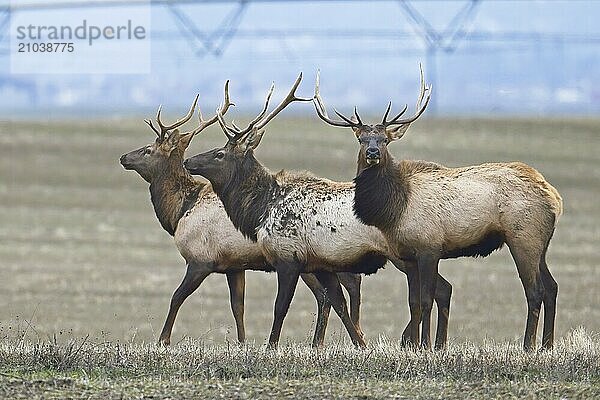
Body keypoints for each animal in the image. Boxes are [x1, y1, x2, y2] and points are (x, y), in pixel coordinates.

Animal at [117, 83, 360, 346]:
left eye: (147, 150)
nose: (123, 157)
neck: (179, 211)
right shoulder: (234, 265)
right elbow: (237, 307)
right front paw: (242, 343)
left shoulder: (200, 259)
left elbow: (176, 297)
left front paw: (164, 340)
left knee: (331, 295)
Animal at [185, 74, 452, 350]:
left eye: (219, 154)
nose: (188, 161)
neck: (261, 209)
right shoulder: (321, 265)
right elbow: (339, 304)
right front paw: (361, 344)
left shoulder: (289, 258)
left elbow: (280, 308)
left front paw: (271, 346)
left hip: (409, 252)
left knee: (434, 292)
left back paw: (424, 343)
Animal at [314, 66, 564, 350]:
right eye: (361, 139)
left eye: (385, 139)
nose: (373, 152)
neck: (393, 210)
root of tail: (555, 198)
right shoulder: (407, 255)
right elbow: (413, 303)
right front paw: (418, 345)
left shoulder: (429, 248)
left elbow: (425, 300)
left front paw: (425, 345)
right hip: (541, 244)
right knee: (552, 287)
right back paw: (547, 345)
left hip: (524, 238)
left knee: (535, 291)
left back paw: (528, 345)